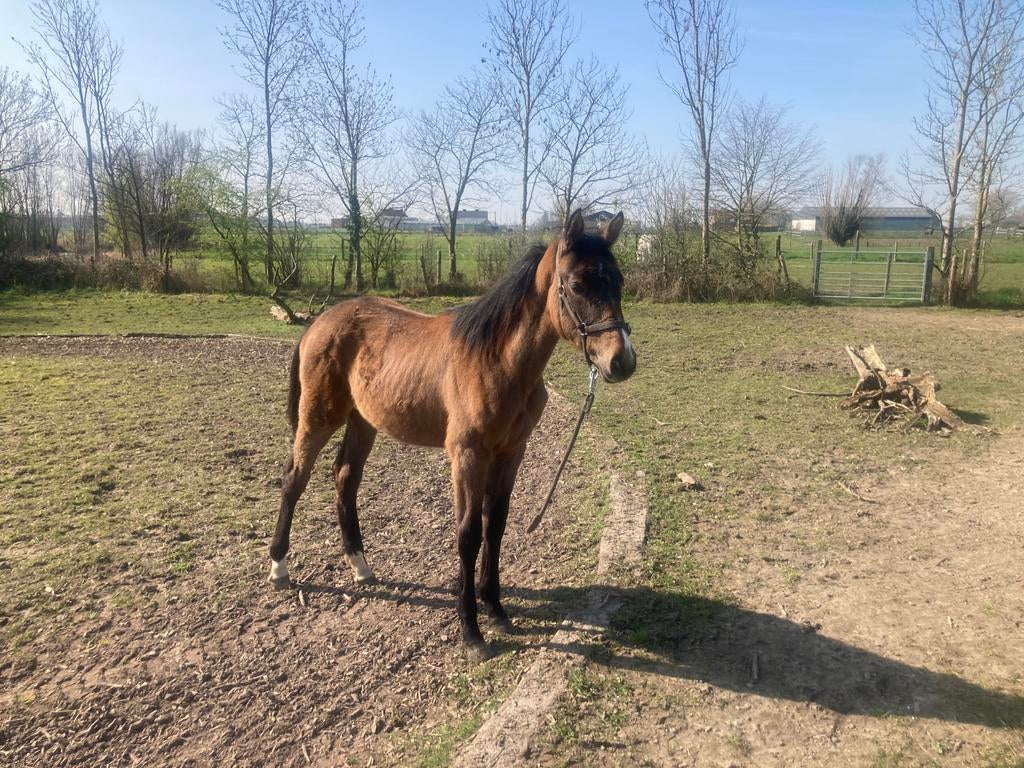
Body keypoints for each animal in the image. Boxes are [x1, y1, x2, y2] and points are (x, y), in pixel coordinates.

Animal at [268, 209, 636, 661]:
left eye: (618, 281)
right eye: (579, 284)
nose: (621, 361)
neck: (496, 360)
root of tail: (319, 322)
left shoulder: (511, 452)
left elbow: (495, 525)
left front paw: (495, 609)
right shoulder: (467, 456)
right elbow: (468, 534)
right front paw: (471, 631)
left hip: (362, 422)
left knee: (345, 478)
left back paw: (360, 566)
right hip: (318, 417)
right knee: (294, 479)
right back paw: (279, 568)